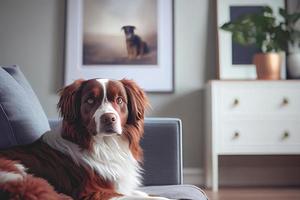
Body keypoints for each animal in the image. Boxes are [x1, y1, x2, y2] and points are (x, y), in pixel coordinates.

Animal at [0, 79, 173, 199]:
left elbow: (148, 195)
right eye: (90, 100)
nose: (108, 118)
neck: (105, 144)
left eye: (119, 100)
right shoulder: (93, 192)